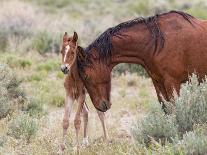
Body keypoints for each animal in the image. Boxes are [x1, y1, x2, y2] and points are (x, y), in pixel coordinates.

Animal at [60, 10, 207, 112]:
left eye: (85, 76)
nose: (100, 106)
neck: (157, 44)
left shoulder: (172, 82)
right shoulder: (158, 82)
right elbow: (166, 109)